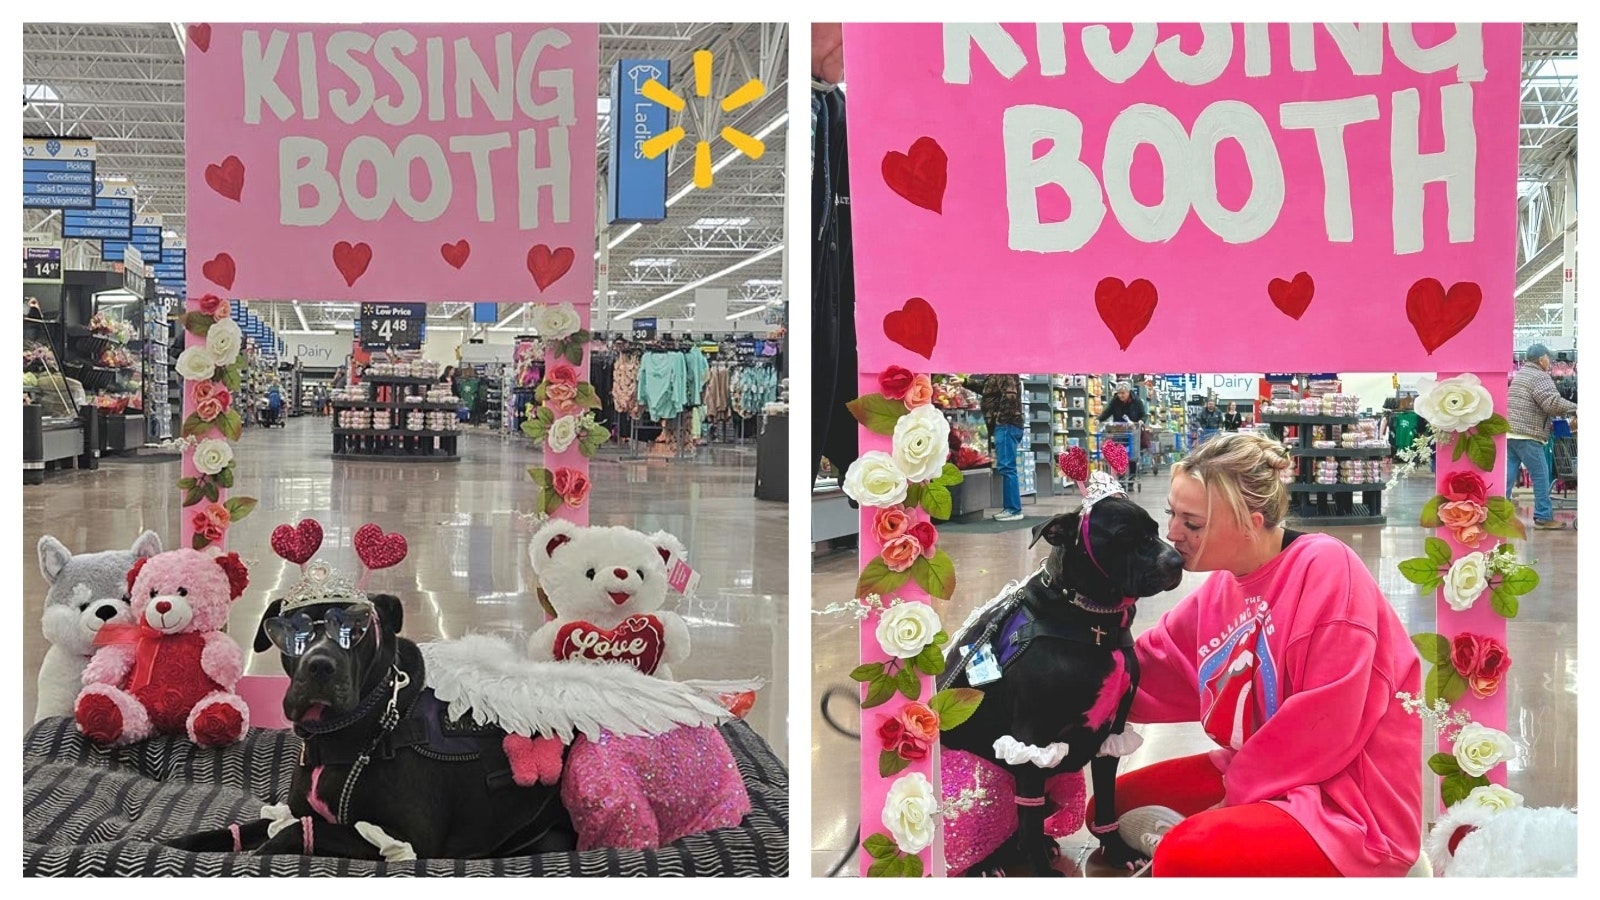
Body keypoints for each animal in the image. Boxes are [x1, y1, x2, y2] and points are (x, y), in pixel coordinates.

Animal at [168, 586, 579, 858]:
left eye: (357, 628)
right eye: (293, 631)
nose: (320, 665)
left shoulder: (407, 838)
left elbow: (295, 833)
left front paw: (261, 852)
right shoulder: (295, 810)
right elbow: (238, 829)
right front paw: (173, 842)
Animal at [934, 493, 1190, 871]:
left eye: (1156, 529)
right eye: (1124, 535)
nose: (1177, 561)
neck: (1093, 621)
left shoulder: (1112, 733)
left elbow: (1107, 801)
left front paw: (1117, 851)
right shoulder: (1031, 741)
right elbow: (1029, 818)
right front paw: (1041, 871)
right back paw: (985, 864)